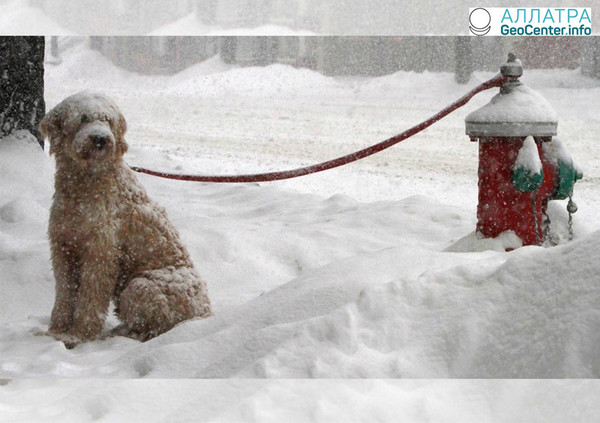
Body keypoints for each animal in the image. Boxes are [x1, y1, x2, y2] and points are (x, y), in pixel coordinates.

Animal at [40, 92, 213, 348]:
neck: (84, 184)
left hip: (140, 287)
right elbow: (64, 293)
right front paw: (56, 331)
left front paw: (79, 335)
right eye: (83, 118)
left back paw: (122, 333)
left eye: (107, 119)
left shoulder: (100, 252)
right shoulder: (63, 247)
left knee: (152, 329)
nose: (100, 139)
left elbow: (90, 299)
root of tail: (205, 313)